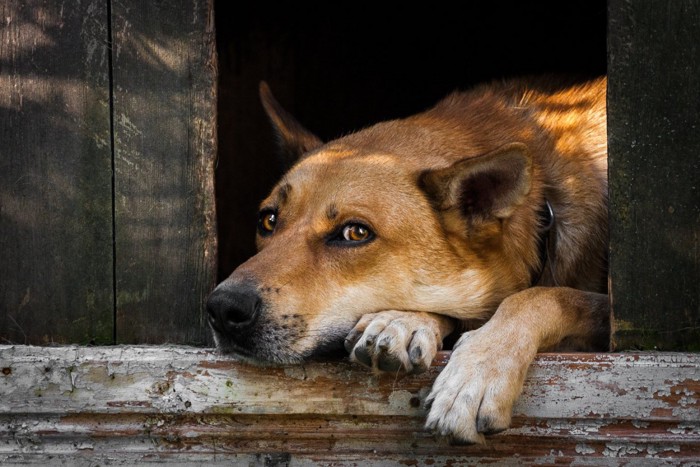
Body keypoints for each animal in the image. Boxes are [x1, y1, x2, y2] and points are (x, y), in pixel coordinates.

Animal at [205, 77, 608, 446]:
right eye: (268, 220)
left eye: (355, 233)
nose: (222, 308)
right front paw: (402, 321)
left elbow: (543, 296)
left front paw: (477, 374)